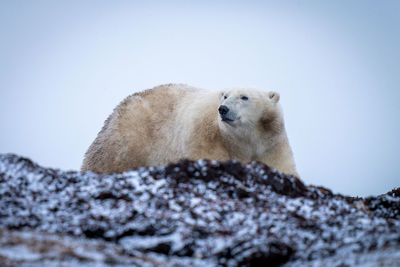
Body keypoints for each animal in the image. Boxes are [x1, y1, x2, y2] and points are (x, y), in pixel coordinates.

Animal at [81, 84, 298, 176]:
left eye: (244, 97)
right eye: (225, 95)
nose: (223, 109)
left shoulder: (272, 144)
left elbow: (283, 167)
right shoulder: (207, 137)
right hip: (128, 141)